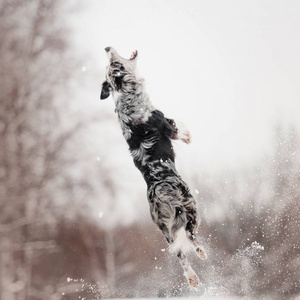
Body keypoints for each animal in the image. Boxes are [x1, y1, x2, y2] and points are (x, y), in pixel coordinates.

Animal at [100, 47, 206, 288]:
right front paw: (188, 136)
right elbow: (178, 126)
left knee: (180, 253)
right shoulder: (166, 124)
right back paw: (202, 254)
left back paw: (192, 278)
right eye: (113, 66)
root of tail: (161, 194)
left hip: (164, 230)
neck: (128, 95)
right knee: (191, 237)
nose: (107, 48)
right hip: (191, 206)